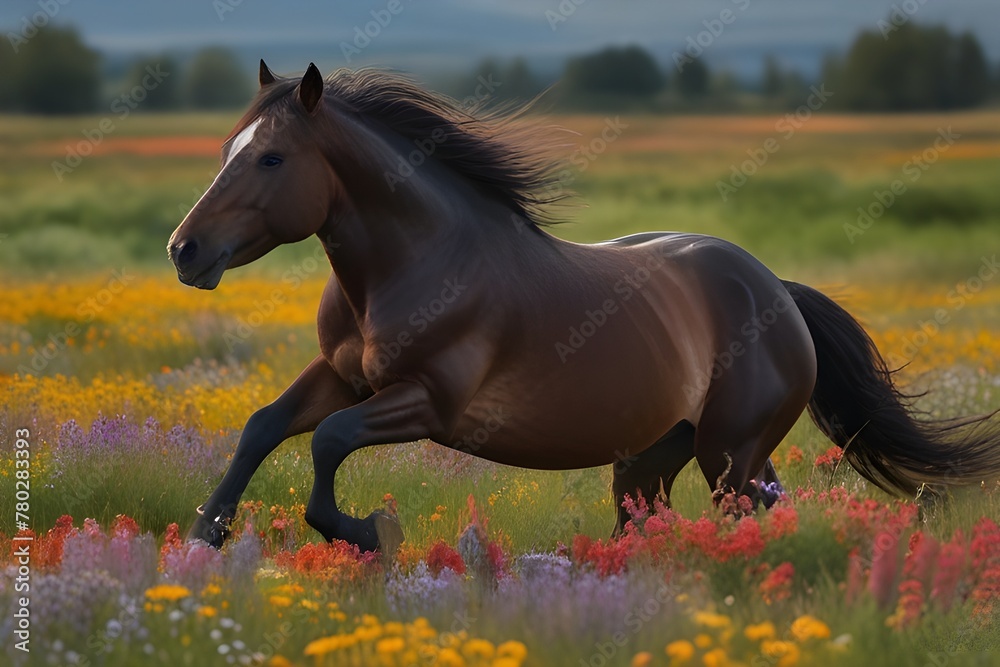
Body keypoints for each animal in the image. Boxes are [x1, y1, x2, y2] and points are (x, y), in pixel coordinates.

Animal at [168, 61, 1000, 552]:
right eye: (225, 150)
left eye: (272, 157)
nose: (185, 250)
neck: (415, 264)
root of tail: (778, 292)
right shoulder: (343, 376)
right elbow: (265, 425)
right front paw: (207, 531)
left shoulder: (426, 400)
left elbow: (329, 440)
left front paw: (369, 529)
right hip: (655, 457)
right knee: (661, 523)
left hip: (729, 451)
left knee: (748, 513)